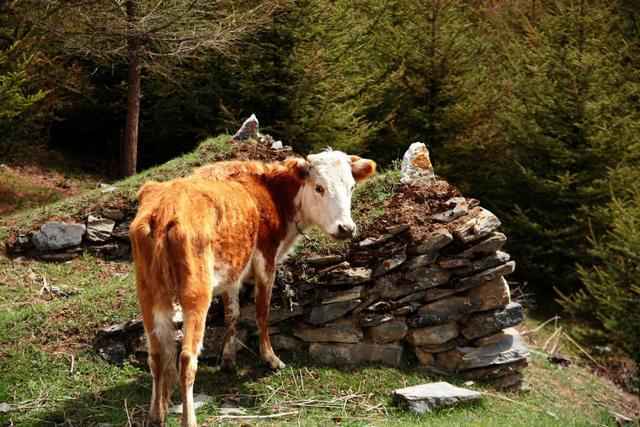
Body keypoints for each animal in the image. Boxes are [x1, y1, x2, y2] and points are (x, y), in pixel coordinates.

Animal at [129, 151, 376, 427]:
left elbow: (232, 313)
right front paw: (270, 358)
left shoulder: (233, 271)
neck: (269, 192)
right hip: (195, 294)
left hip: (148, 292)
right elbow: (262, 311)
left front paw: (228, 359)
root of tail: (164, 209)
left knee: (156, 353)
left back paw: (156, 413)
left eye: (351, 187)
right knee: (186, 358)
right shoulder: (266, 259)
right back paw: (188, 419)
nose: (346, 228)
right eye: (319, 187)